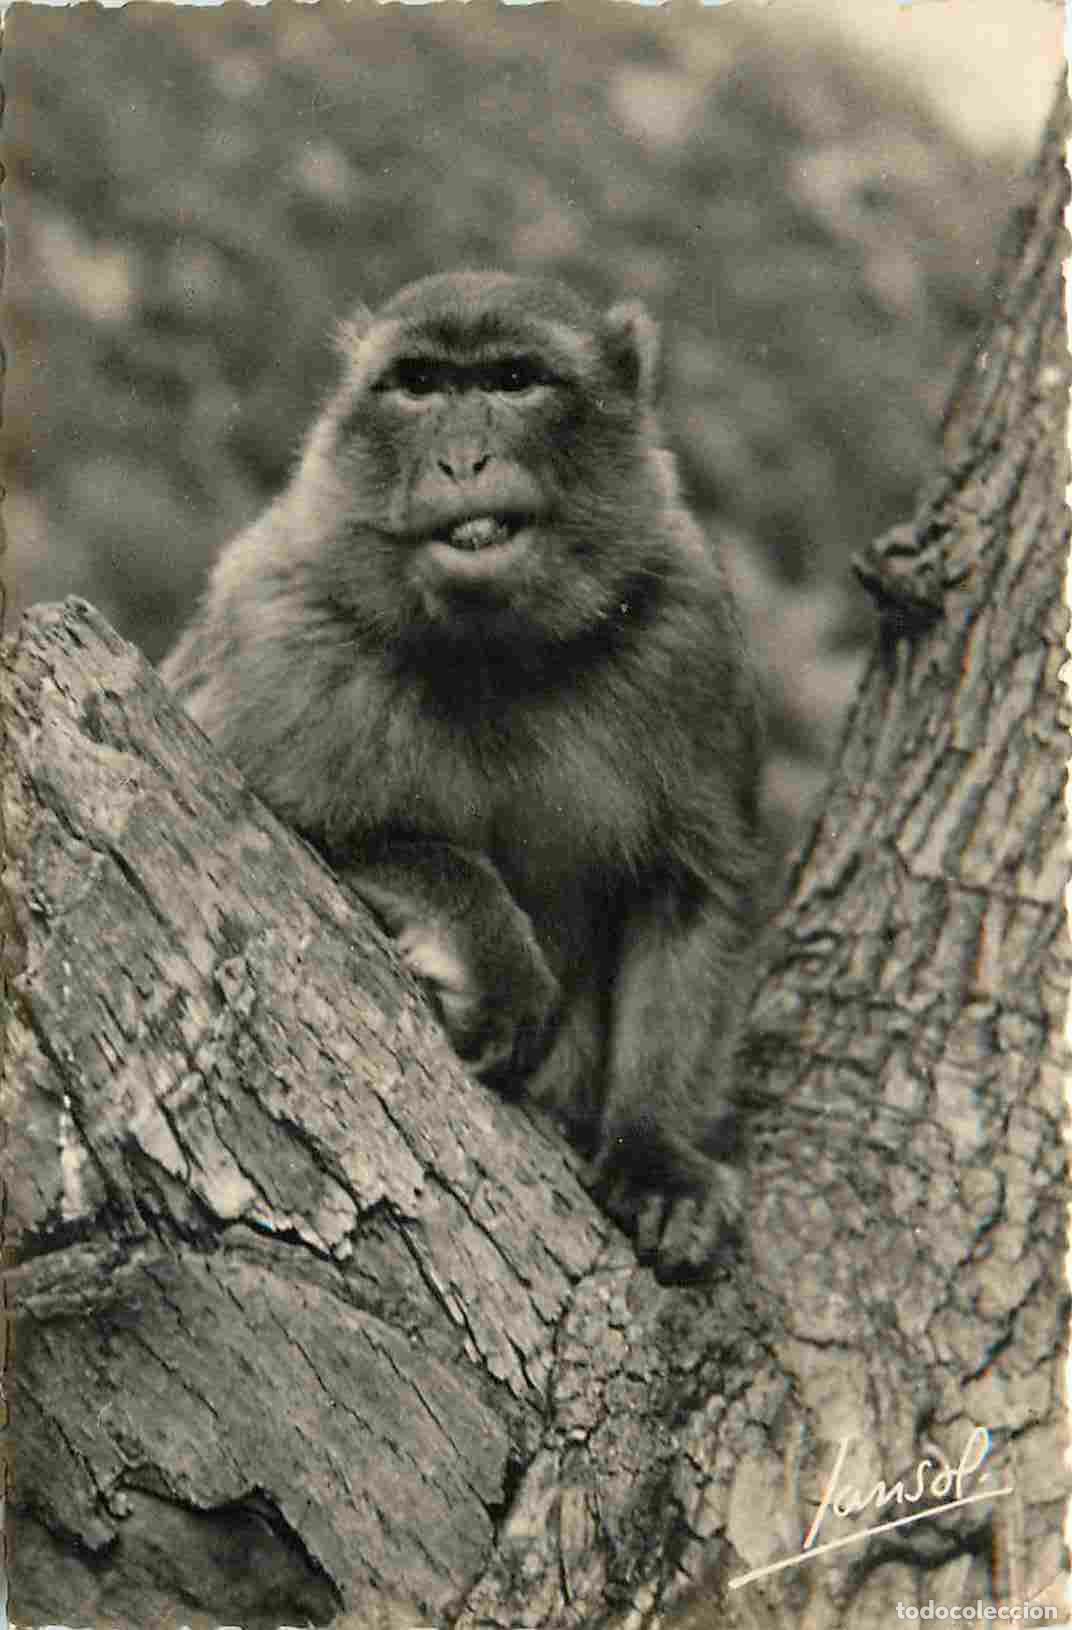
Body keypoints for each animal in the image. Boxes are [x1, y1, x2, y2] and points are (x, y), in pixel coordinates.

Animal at [162, 270, 766, 1282]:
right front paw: (494, 954)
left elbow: (690, 891)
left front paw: (655, 1154)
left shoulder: (689, 636)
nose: (461, 459)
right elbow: (290, 816)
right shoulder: (280, 618)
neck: (498, 653)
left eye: (514, 381)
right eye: (419, 385)